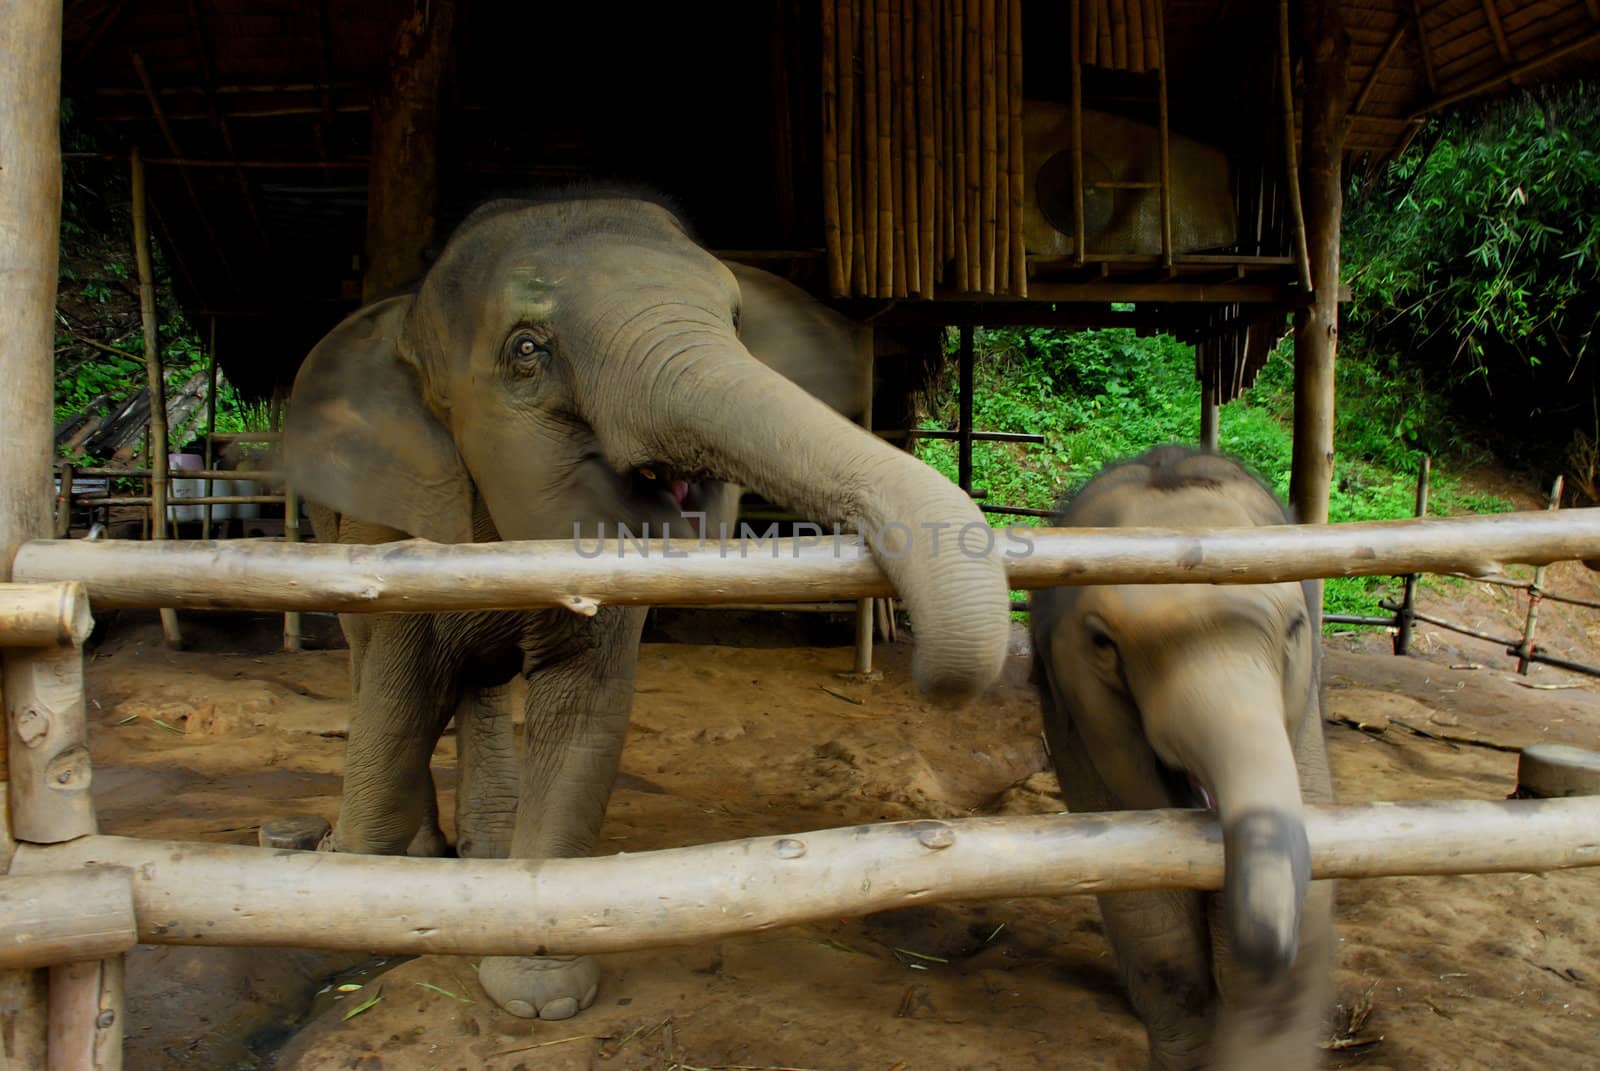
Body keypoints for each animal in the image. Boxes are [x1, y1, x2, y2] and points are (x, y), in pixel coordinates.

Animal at [284, 192, 1011, 1018]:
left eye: (735, 320)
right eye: (527, 350)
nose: (934, 683)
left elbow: (583, 711)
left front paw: (539, 994)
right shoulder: (395, 524)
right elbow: (402, 695)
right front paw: (351, 891)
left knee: (479, 686)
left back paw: (486, 853)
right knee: (376, 666)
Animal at [1030, 445, 1331, 1069]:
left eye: (1295, 627)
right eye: (1103, 644)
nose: (1271, 955)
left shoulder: (1304, 712)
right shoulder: (1080, 725)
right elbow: (1155, 932)